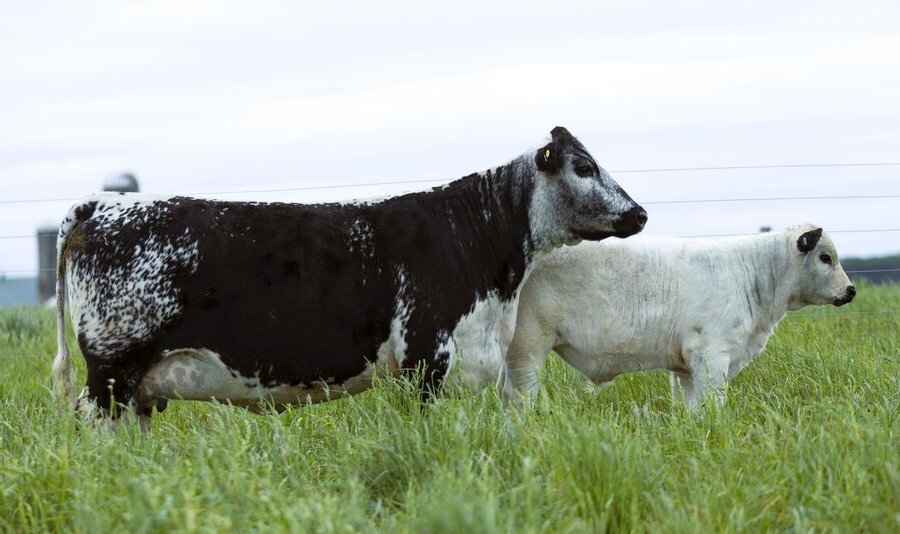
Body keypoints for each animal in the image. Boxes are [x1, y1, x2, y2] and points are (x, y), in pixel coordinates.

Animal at [51, 126, 647, 428]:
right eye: (584, 166)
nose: (639, 213)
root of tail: (103, 204)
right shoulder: (426, 359)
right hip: (110, 370)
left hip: (137, 386)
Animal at [503, 225, 856, 408]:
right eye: (825, 257)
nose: (851, 291)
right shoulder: (711, 355)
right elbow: (712, 406)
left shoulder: (686, 367)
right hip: (528, 345)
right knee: (519, 398)